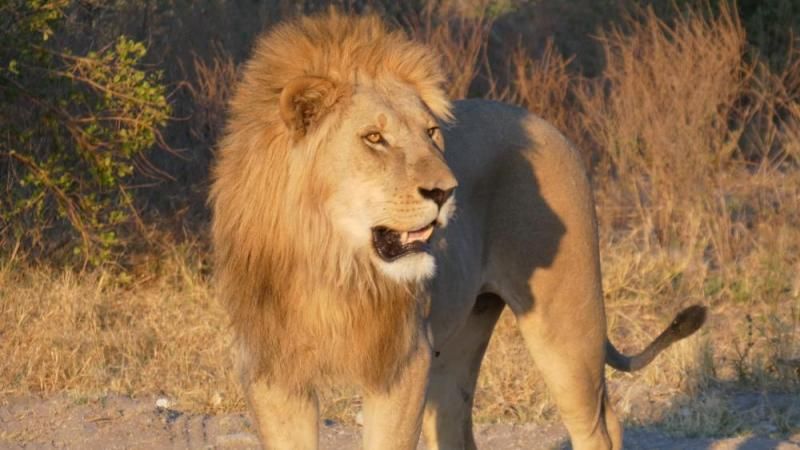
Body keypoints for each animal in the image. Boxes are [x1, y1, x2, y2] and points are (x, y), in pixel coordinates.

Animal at [210, 11, 706, 450]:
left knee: (599, 427)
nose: (446, 191)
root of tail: (553, 128)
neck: (330, 264)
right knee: (456, 427)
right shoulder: (273, 374)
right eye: (374, 138)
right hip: (457, 343)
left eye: (431, 132)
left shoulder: (402, 365)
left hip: (566, 323)